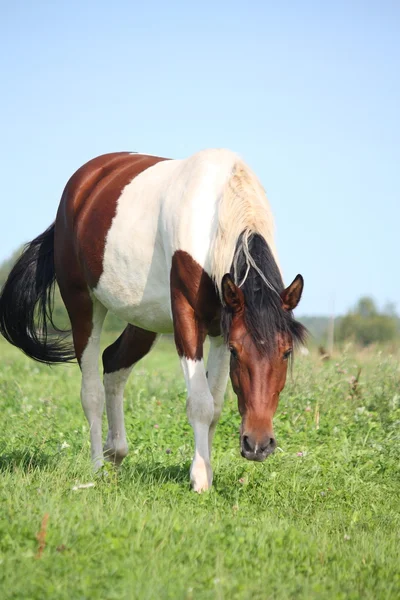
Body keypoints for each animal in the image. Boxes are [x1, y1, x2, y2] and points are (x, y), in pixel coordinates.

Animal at [0, 148, 306, 490]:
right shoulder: (188, 318)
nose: (257, 444)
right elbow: (201, 404)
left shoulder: (221, 327)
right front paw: (200, 478)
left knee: (113, 362)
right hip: (83, 305)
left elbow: (215, 406)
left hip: (144, 320)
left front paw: (208, 469)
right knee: (91, 390)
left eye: (286, 352)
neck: (219, 210)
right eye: (238, 352)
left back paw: (116, 452)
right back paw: (97, 467)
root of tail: (83, 184)